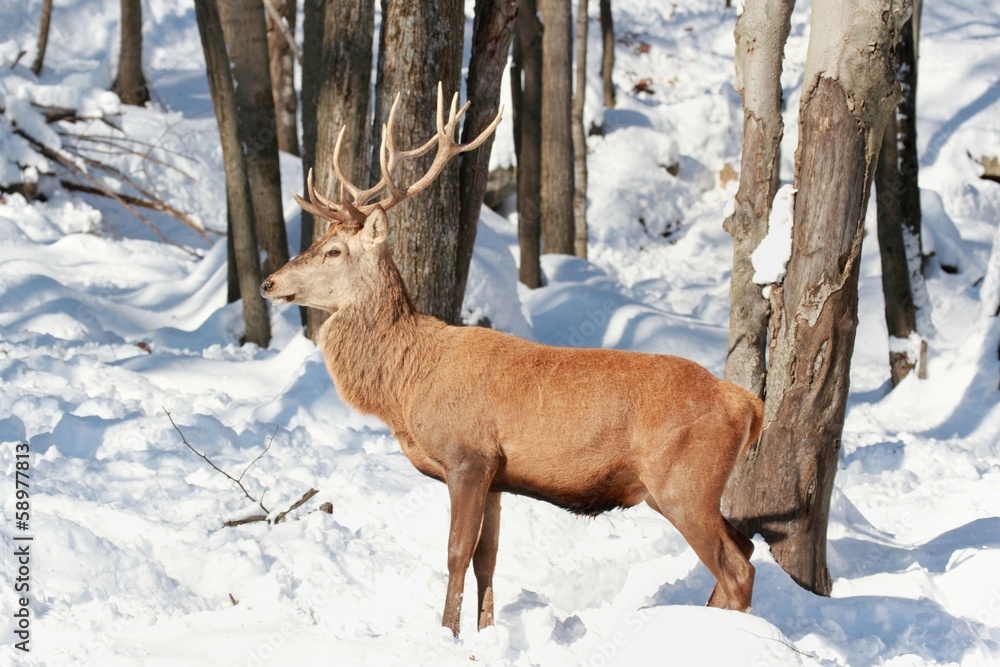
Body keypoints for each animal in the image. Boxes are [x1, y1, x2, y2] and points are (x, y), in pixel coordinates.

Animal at [260, 84, 764, 637]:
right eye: (315, 242)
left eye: (333, 251)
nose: (268, 282)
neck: (406, 388)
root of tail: (746, 403)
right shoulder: (499, 477)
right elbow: (488, 559)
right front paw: (486, 633)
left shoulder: (469, 455)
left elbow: (456, 553)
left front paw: (447, 634)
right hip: (678, 489)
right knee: (747, 546)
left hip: (683, 482)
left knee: (737, 567)